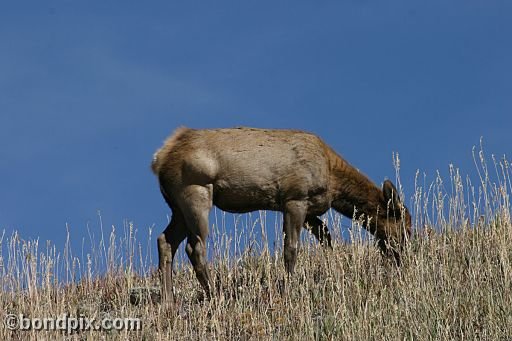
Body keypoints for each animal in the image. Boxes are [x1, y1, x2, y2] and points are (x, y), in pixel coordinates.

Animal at [151, 125, 412, 298]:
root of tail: (159, 159)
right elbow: (291, 248)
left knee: (165, 240)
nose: (405, 256)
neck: (333, 181)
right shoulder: (294, 198)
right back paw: (215, 293)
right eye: (406, 226)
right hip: (195, 191)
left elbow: (327, 239)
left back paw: (169, 301)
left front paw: (334, 270)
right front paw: (288, 288)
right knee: (194, 247)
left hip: (177, 206)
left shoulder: (310, 210)